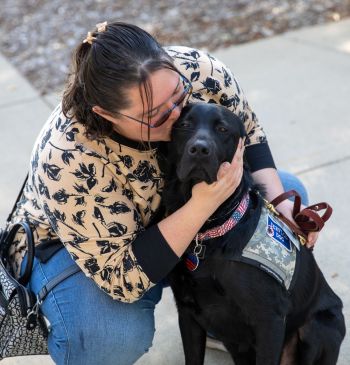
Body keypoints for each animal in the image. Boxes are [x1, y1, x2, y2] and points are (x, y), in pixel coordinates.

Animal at [163, 102, 344, 364]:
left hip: (321, 325)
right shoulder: (187, 314)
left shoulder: (269, 320)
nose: (199, 149)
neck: (209, 230)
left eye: (222, 129)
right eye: (185, 124)